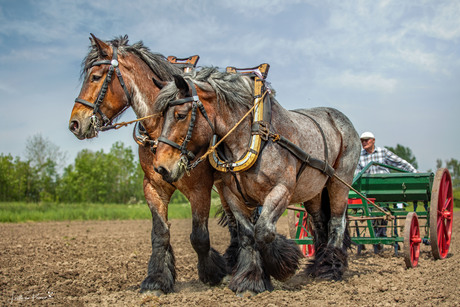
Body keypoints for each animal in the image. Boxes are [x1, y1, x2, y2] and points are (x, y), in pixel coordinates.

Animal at [67, 34, 230, 296]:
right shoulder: (153, 186)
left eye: (95, 77)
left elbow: (199, 236)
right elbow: (160, 233)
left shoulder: (200, 189)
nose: (74, 123)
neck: (161, 129)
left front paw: (213, 273)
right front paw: (156, 279)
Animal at [153, 68, 362, 294]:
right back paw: (317, 265)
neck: (257, 135)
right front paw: (250, 279)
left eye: (180, 115)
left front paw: (282, 266)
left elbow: (263, 231)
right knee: (320, 222)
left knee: (336, 222)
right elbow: (247, 234)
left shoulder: (281, 190)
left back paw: (330, 268)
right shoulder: (232, 195)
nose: (161, 167)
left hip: (339, 182)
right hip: (313, 191)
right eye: (161, 116)